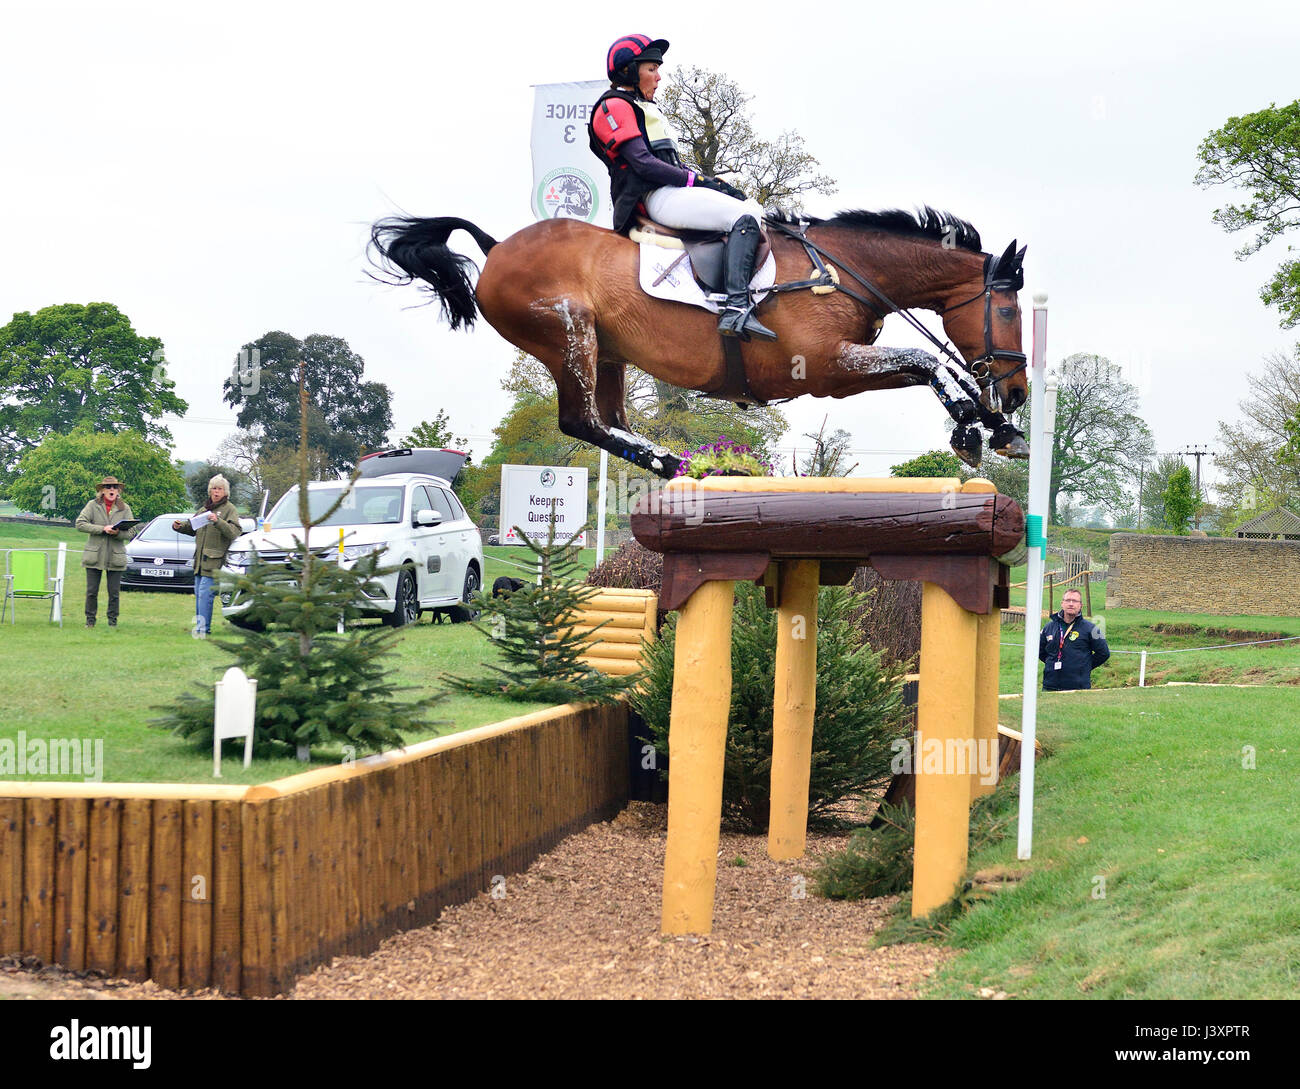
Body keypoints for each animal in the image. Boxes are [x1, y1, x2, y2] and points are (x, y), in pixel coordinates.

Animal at [371, 205, 1029, 478]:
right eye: (1007, 309)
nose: (1020, 390)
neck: (844, 271)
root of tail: (496, 247)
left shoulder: (843, 367)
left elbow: (939, 368)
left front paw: (1001, 428)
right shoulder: (825, 369)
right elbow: (926, 360)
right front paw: (974, 429)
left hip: (607, 351)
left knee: (608, 419)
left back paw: (687, 464)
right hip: (568, 335)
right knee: (580, 422)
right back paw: (682, 465)